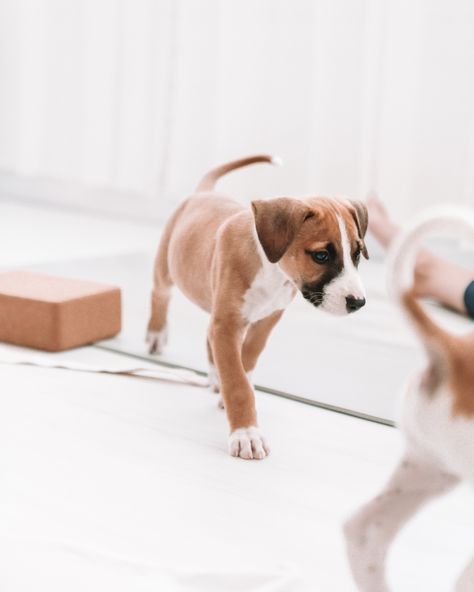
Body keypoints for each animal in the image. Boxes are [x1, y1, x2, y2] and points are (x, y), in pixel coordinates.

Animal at [146, 155, 368, 460]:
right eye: (321, 255)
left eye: (357, 253)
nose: (358, 302)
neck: (271, 270)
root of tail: (205, 192)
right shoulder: (227, 326)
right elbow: (237, 383)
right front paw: (246, 433)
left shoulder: (268, 318)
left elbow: (248, 357)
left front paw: (235, 383)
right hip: (166, 269)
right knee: (160, 295)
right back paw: (156, 334)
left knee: (208, 336)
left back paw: (214, 376)